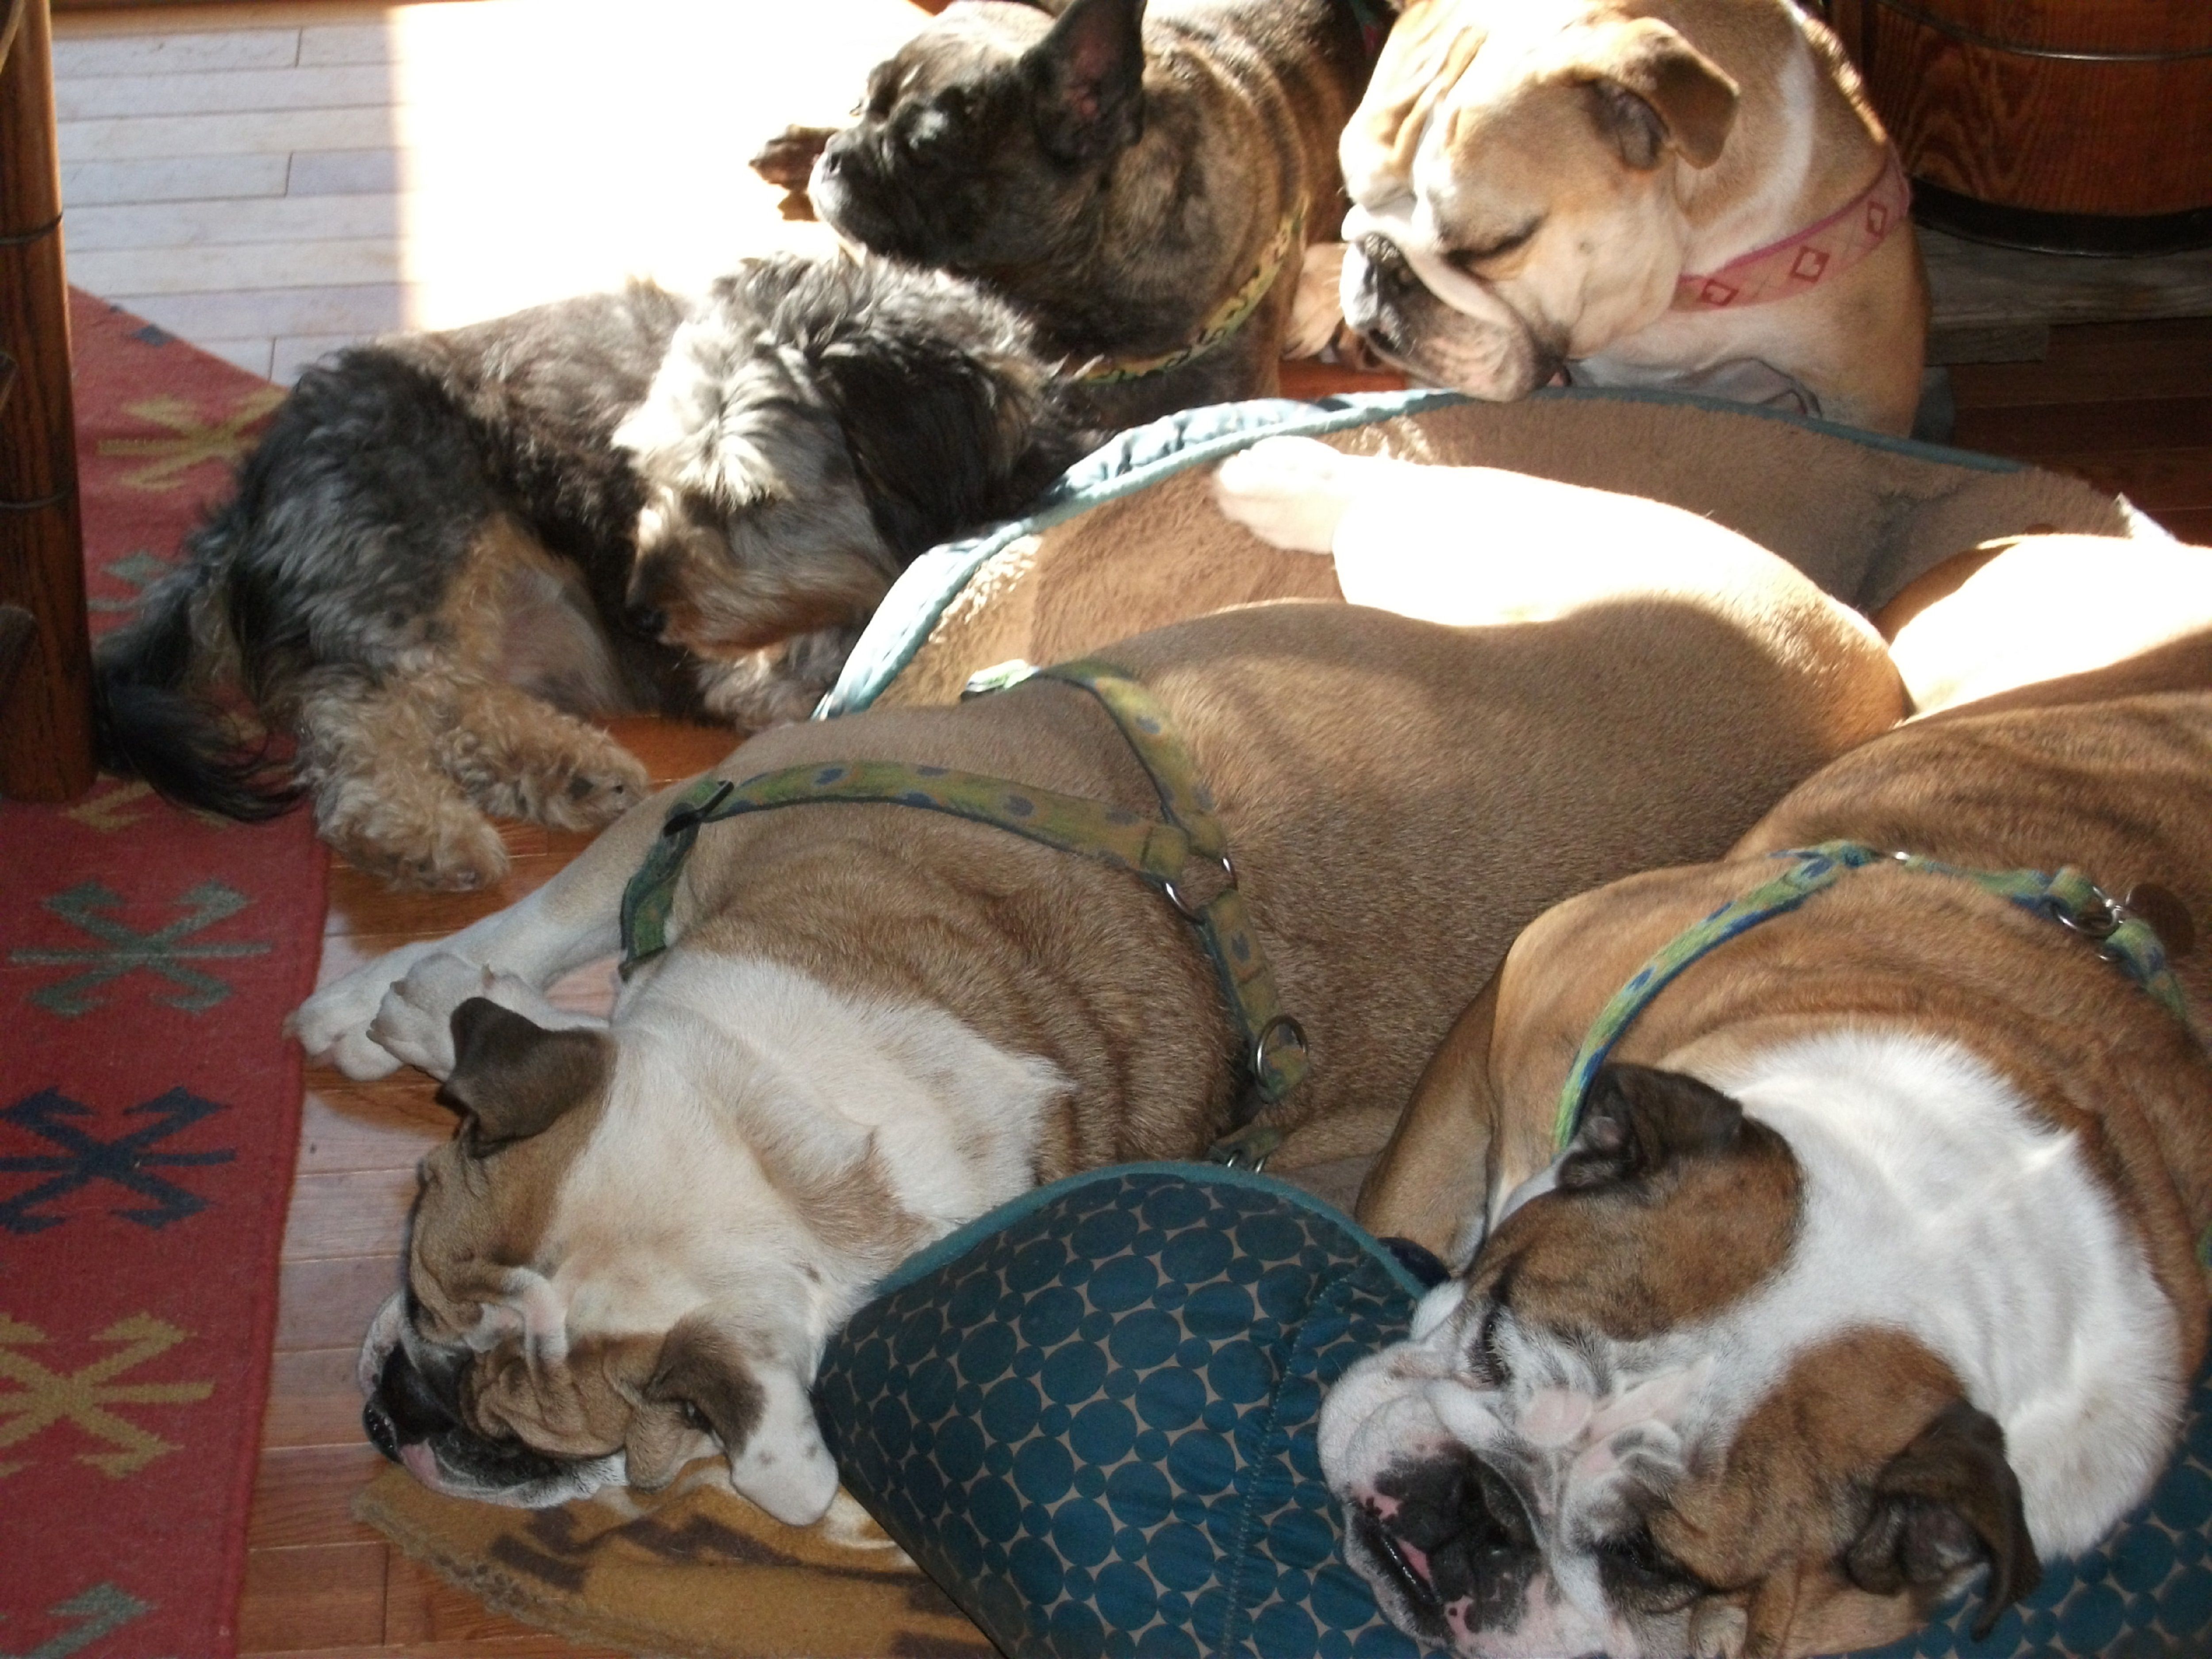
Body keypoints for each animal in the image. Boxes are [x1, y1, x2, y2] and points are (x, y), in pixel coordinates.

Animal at [93, 252, 1094, 890]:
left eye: (743, 499)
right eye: (653, 471)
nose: (643, 610)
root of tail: (254, 491)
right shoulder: (763, 672)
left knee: (448, 703)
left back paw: (568, 770)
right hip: (418, 547)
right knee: (365, 708)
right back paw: (415, 829)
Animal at [288, 448, 1904, 1525]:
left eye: (546, 1444)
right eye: (412, 1287)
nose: (390, 1418)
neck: (793, 1106)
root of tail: (1869, 669)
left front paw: (422, 999)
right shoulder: (725, 794)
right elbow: (548, 912)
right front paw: (389, 995)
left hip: (1489, 562)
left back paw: (1281, 475)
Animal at [1324, 684, 2212, 1657]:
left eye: (1651, 1564)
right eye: (1490, 1341)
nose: (1475, 1517)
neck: (1937, 1207)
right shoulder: (1504, 1013)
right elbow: (1407, 1196)